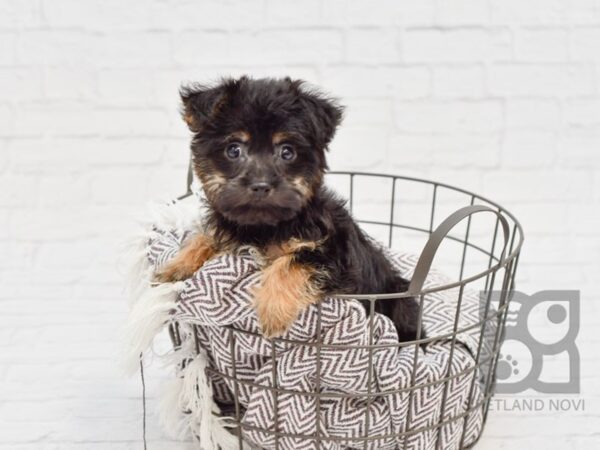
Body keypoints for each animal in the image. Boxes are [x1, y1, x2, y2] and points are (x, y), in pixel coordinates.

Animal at [157, 76, 424, 342]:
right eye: (233, 150)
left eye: (287, 152)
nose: (261, 185)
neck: (263, 227)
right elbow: (206, 236)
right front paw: (175, 266)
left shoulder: (334, 256)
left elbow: (293, 261)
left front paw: (272, 311)